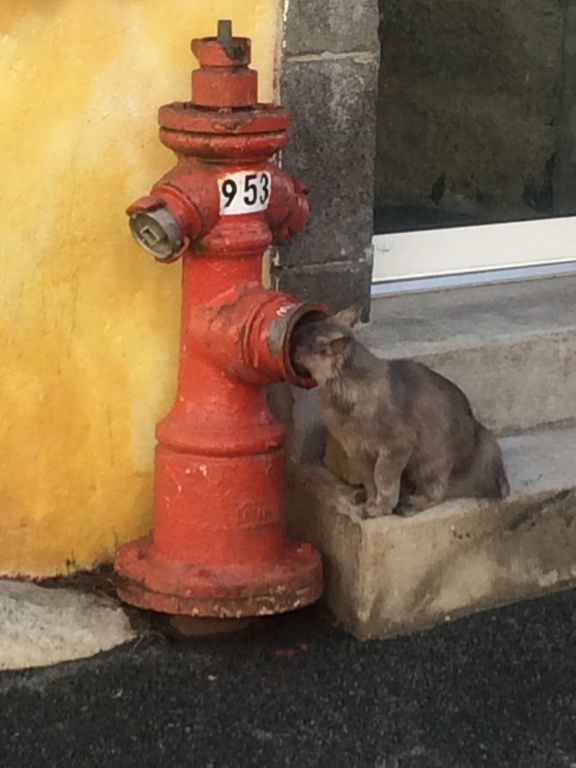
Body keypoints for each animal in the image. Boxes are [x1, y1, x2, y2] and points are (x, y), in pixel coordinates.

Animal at [290, 304, 510, 516]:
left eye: (300, 344)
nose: (292, 341)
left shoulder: (396, 446)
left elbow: (383, 478)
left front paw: (381, 508)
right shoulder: (358, 450)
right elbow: (370, 480)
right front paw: (371, 502)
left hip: (432, 463)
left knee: (435, 493)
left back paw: (409, 505)